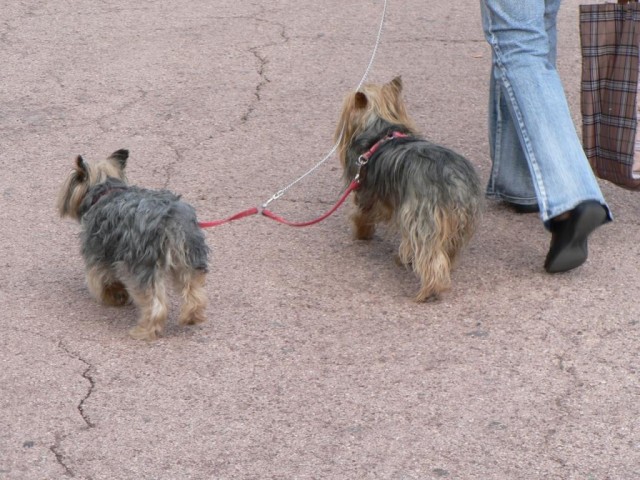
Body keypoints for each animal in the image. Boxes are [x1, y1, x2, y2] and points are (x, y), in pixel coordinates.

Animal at [56, 148, 209, 340]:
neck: (106, 190)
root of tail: (169, 219)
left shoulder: (98, 251)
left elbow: (104, 277)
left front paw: (113, 295)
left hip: (144, 263)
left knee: (156, 304)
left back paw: (145, 331)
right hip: (188, 254)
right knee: (193, 289)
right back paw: (191, 317)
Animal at [336, 77, 480, 302]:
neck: (380, 129)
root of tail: (454, 179)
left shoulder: (367, 190)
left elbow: (363, 214)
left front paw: (361, 233)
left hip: (421, 215)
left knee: (429, 257)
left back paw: (428, 290)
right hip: (458, 219)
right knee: (449, 249)